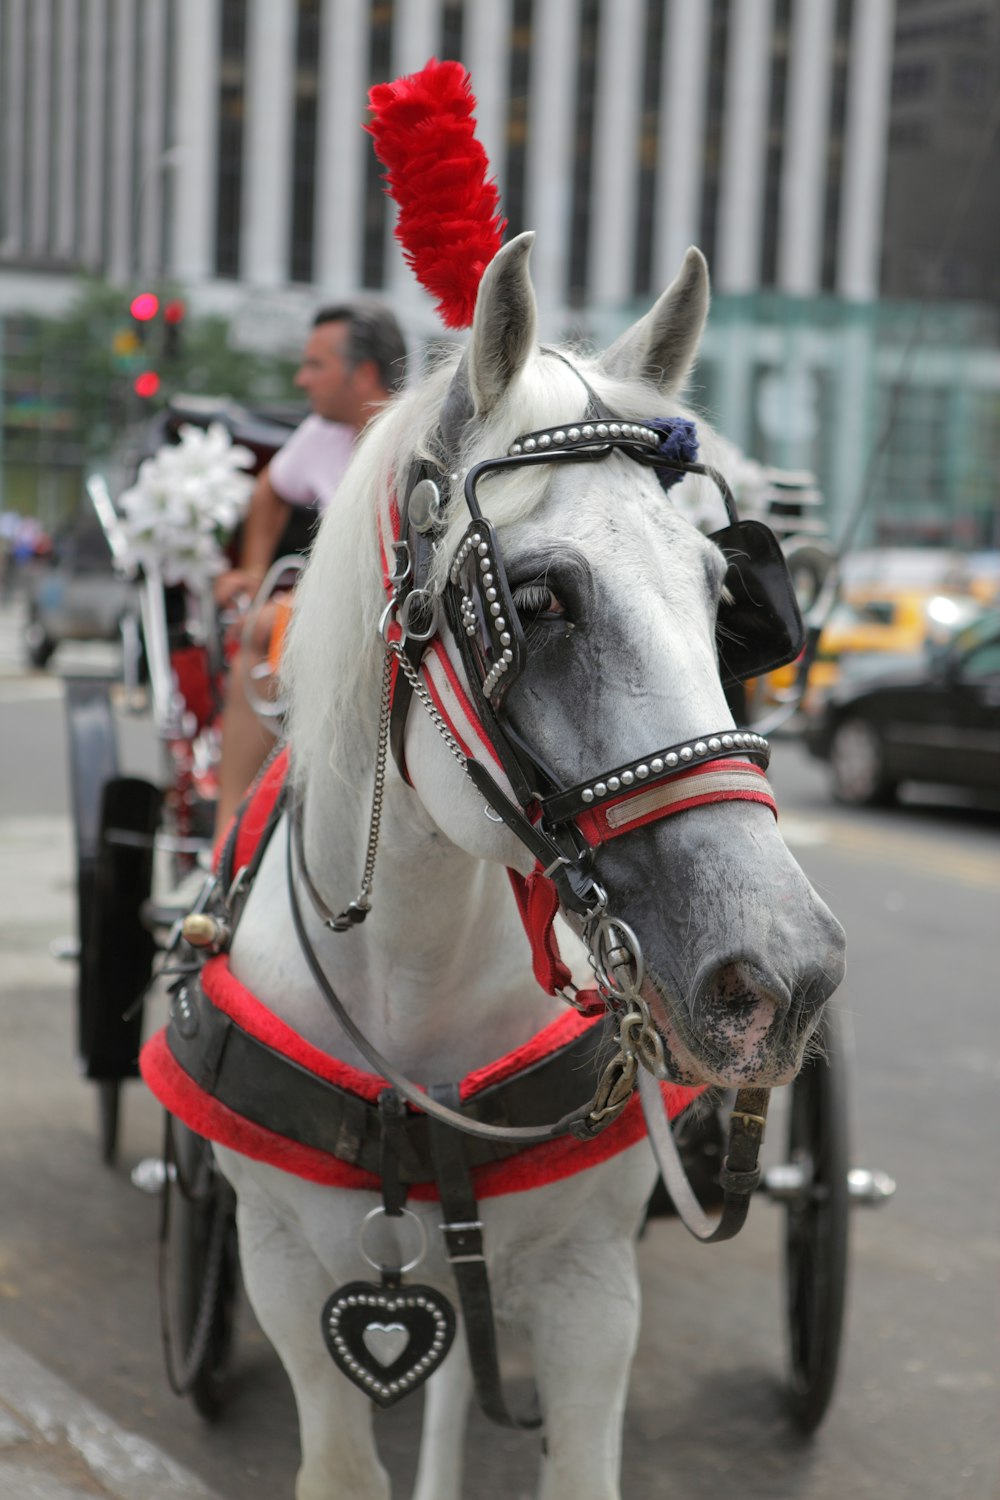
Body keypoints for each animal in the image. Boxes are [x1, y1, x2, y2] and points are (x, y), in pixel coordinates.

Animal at [189, 240, 845, 1494]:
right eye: (534, 600)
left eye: (722, 595)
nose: (781, 975)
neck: (414, 988)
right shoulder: (285, 1266)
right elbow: (342, 1463)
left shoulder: (592, 1288)